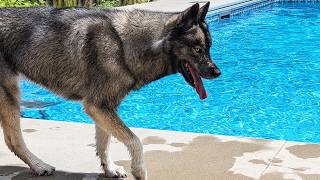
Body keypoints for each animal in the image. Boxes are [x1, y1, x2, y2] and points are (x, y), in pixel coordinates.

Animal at [0, 2, 220, 179]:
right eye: (198, 50)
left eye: (209, 48)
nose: (217, 72)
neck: (124, 46)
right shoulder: (98, 107)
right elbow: (135, 141)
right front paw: (139, 170)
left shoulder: (103, 109)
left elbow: (103, 144)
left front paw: (110, 169)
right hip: (10, 95)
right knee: (13, 140)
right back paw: (39, 166)